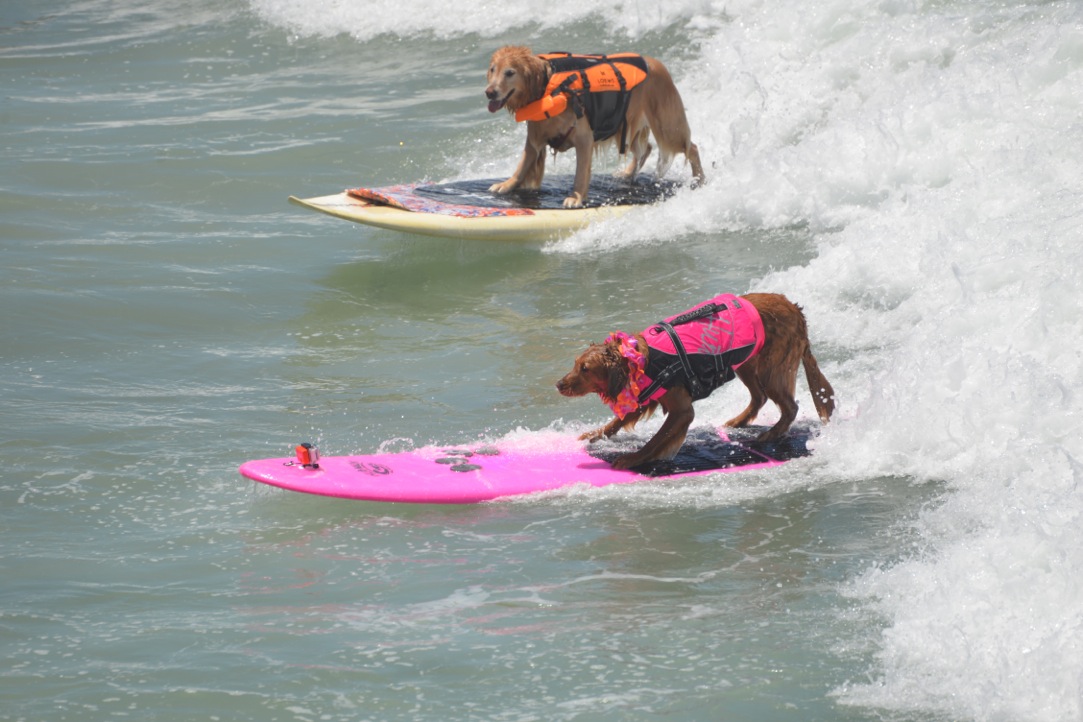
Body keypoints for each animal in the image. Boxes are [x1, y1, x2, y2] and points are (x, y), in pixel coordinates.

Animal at [483, 46, 701, 205]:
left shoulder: (584, 139)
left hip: (667, 127)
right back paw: (627, 173)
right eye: (492, 69)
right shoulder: (534, 138)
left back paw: (700, 180)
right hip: (623, 125)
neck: (548, 87)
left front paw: (576, 198)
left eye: (510, 72)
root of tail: (656, 63)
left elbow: (580, 173)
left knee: (691, 148)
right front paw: (506, 185)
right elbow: (522, 166)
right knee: (645, 148)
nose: (489, 92)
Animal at [554, 292, 831, 469]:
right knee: (759, 397)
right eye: (575, 364)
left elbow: (657, 439)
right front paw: (593, 434)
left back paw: (770, 434)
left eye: (585, 369)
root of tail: (794, 308)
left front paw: (633, 459)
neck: (642, 362)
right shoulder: (644, 396)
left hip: (772, 369)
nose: (559, 385)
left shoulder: (682, 411)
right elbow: (617, 421)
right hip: (746, 363)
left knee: (789, 406)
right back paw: (737, 423)